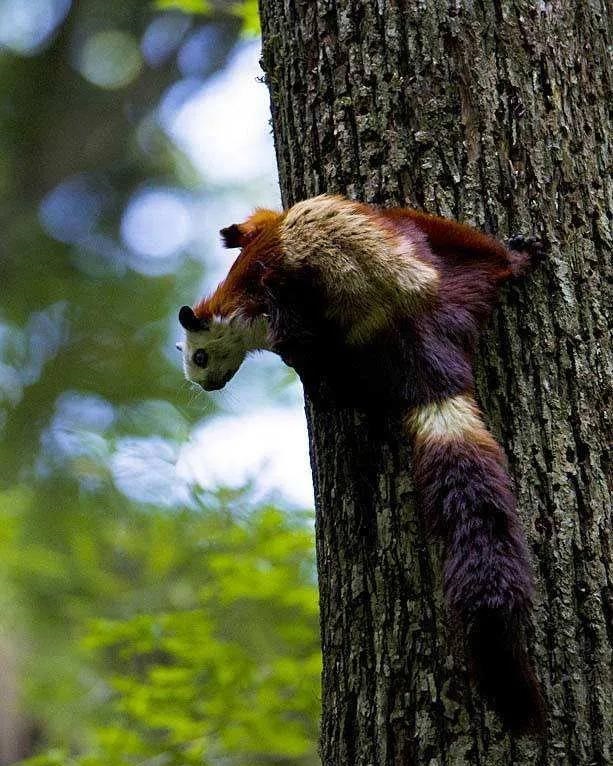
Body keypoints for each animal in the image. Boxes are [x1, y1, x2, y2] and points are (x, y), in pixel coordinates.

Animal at [177, 195, 544, 736]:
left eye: (199, 357)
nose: (206, 386)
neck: (233, 301)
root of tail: (417, 330)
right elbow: (257, 221)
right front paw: (233, 232)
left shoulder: (274, 302)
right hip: (461, 286)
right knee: (483, 265)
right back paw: (514, 263)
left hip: (391, 303)